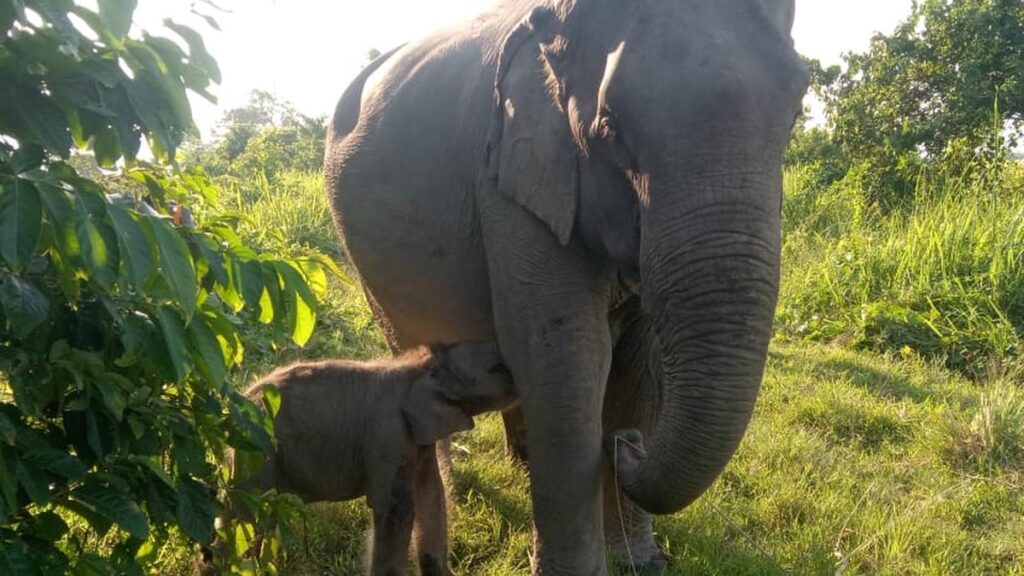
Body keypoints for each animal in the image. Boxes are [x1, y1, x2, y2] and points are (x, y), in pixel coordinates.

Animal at [206, 343, 516, 576]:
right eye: (496, 368)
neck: (419, 365)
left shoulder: (417, 441)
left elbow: (431, 495)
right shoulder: (387, 435)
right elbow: (396, 509)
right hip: (256, 453)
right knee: (246, 521)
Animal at [324, 0, 808, 573]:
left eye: (796, 113)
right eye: (610, 130)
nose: (628, 444)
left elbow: (639, 362)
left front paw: (642, 561)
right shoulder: (509, 180)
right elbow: (566, 356)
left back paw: (522, 463)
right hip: (362, 255)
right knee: (414, 352)